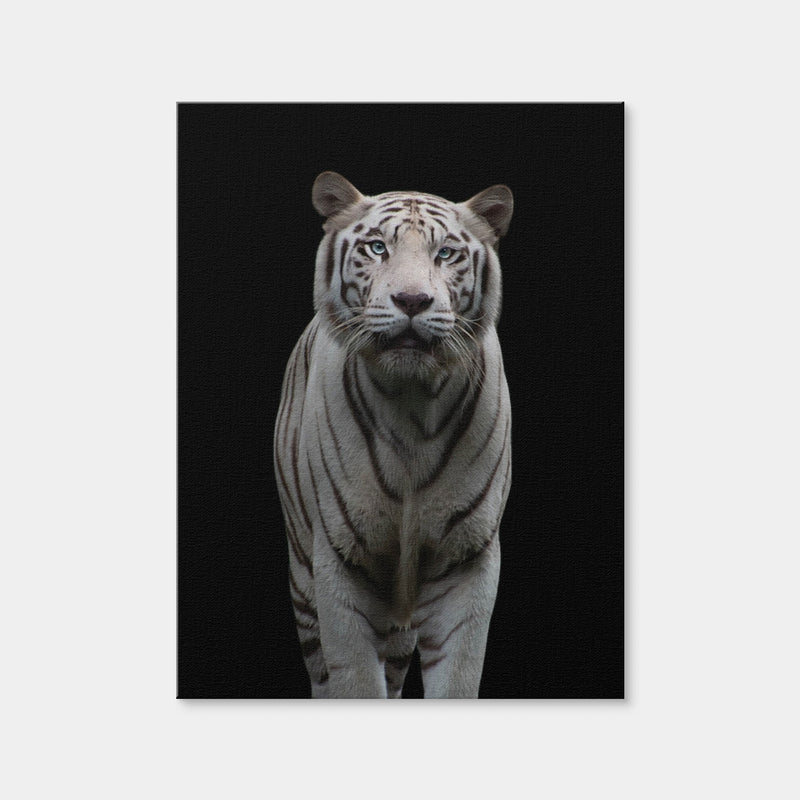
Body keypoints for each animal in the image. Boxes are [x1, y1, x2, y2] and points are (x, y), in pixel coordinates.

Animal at [274, 172, 513, 698]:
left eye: (446, 253)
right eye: (378, 247)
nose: (412, 301)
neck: (413, 405)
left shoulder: (468, 559)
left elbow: (458, 677)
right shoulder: (340, 561)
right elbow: (355, 679)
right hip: (303, 579)